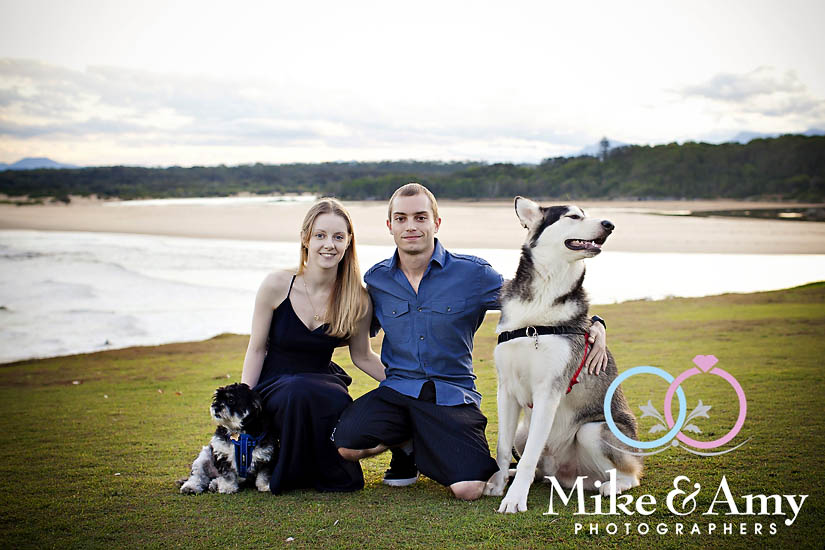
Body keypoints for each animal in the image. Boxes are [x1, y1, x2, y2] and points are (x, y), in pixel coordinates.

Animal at [483, 197, 642, 513]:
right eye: (573, 216)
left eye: (587, 214)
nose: (609, 224)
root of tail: (566, 475)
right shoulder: (505, 389)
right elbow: (503, 447)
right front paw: (497, 484)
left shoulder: (548, 391)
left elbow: (529, 455)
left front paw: (514, 499)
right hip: (524, 430)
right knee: (534, 463)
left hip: (594, 431)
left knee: (630, 474)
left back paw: (614, 486)